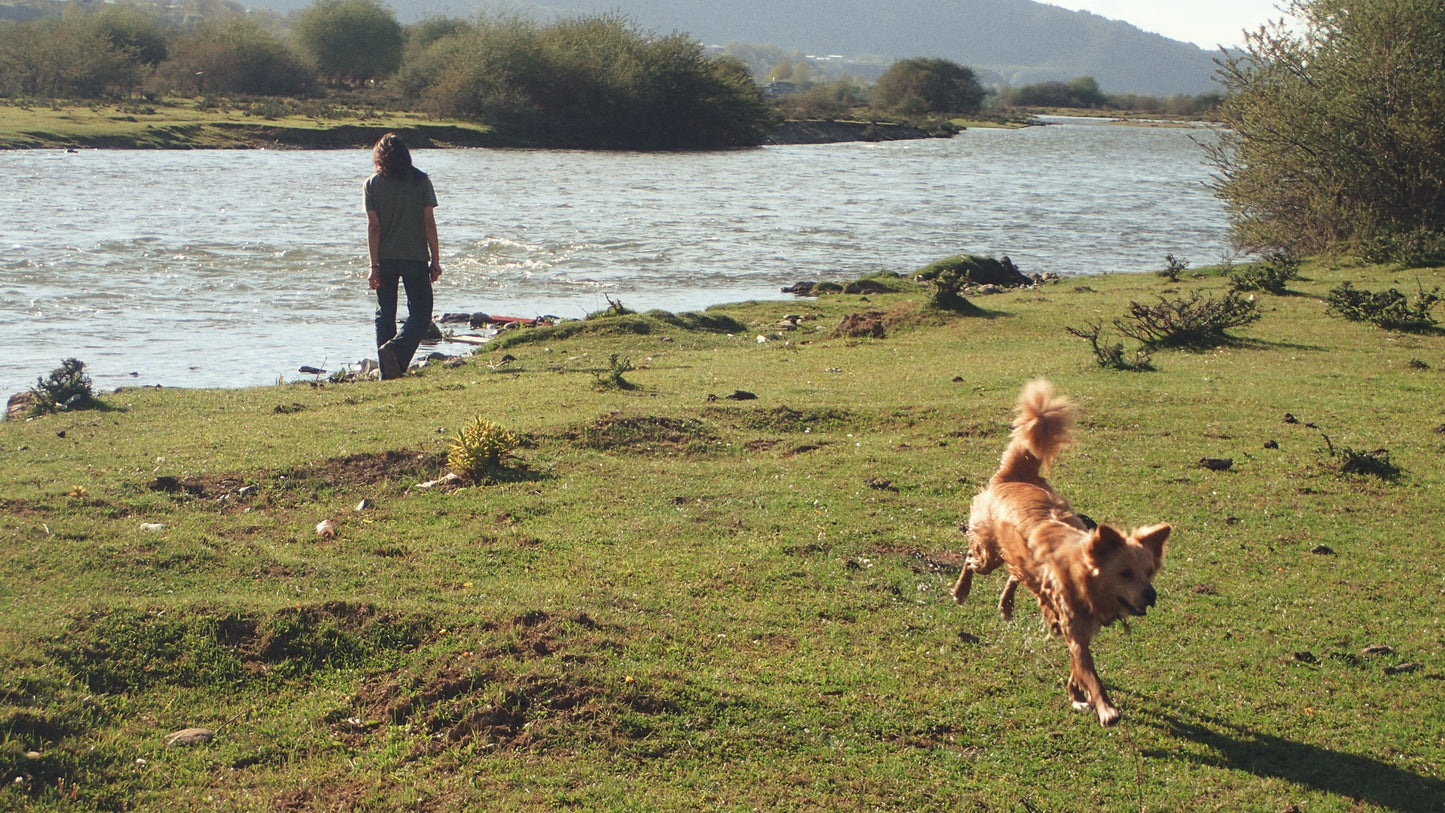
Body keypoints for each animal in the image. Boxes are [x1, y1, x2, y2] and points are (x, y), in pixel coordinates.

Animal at [953, 381, 1167, 730]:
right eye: (1125, 573)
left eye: (1149, 572)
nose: (1151, 595)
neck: (1079, 571)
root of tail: (1016, 477)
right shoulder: (1074, 629)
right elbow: (1091, 674)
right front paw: (1105, 708)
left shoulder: (1077, 631)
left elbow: (1077, 669)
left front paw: (1077, 696)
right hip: (988, 555)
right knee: (971, 559)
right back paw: (961, 591)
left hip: (1015, 558)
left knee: (1014, 573)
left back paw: (1006, 604)